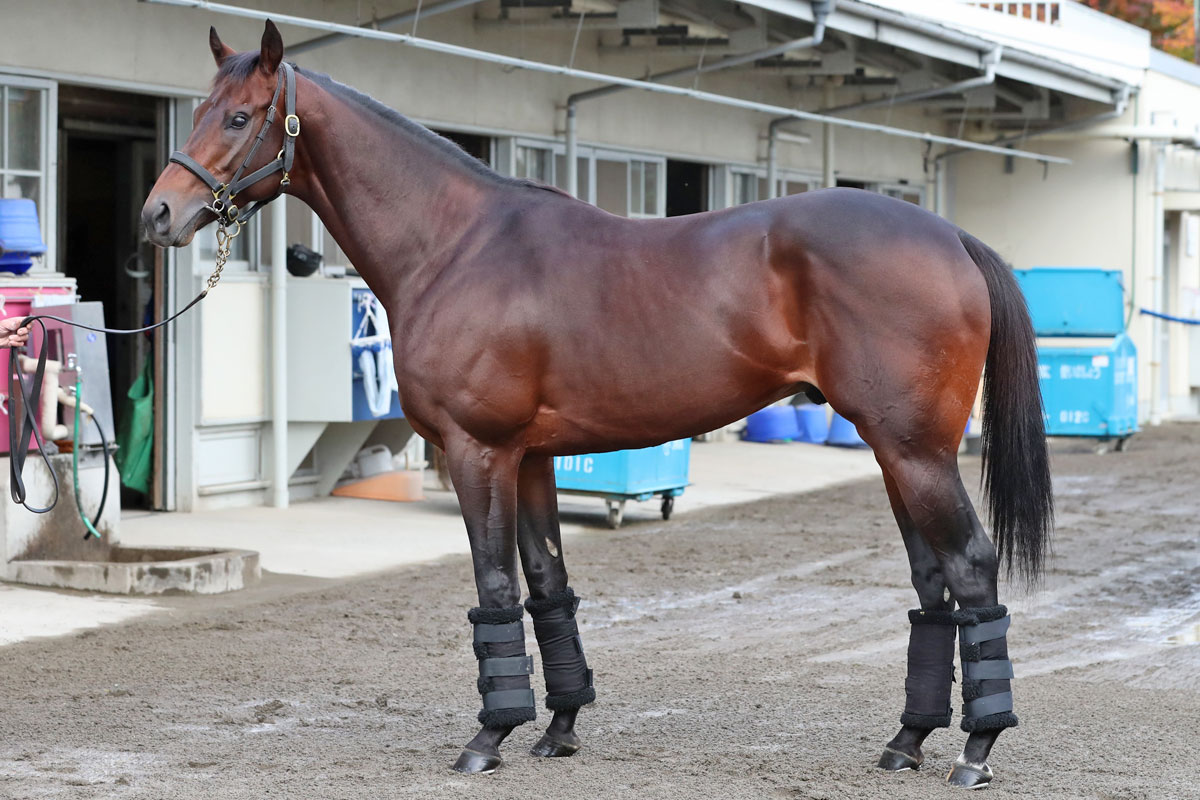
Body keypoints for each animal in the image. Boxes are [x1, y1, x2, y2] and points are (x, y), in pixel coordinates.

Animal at [142, 21, 1052, 789]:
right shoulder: (532, 456)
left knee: (971, 568)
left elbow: (496, 587)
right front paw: (558, 728)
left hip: (915, 451)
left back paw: (976, 750)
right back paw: (906, 741)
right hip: (895, 452)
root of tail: (950, 236)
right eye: (201, 108)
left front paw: (489, 737)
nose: (158, 215)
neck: (458, 245)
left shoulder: (478, 450)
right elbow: (548, 585)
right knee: (933, 585)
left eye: (240, 117)